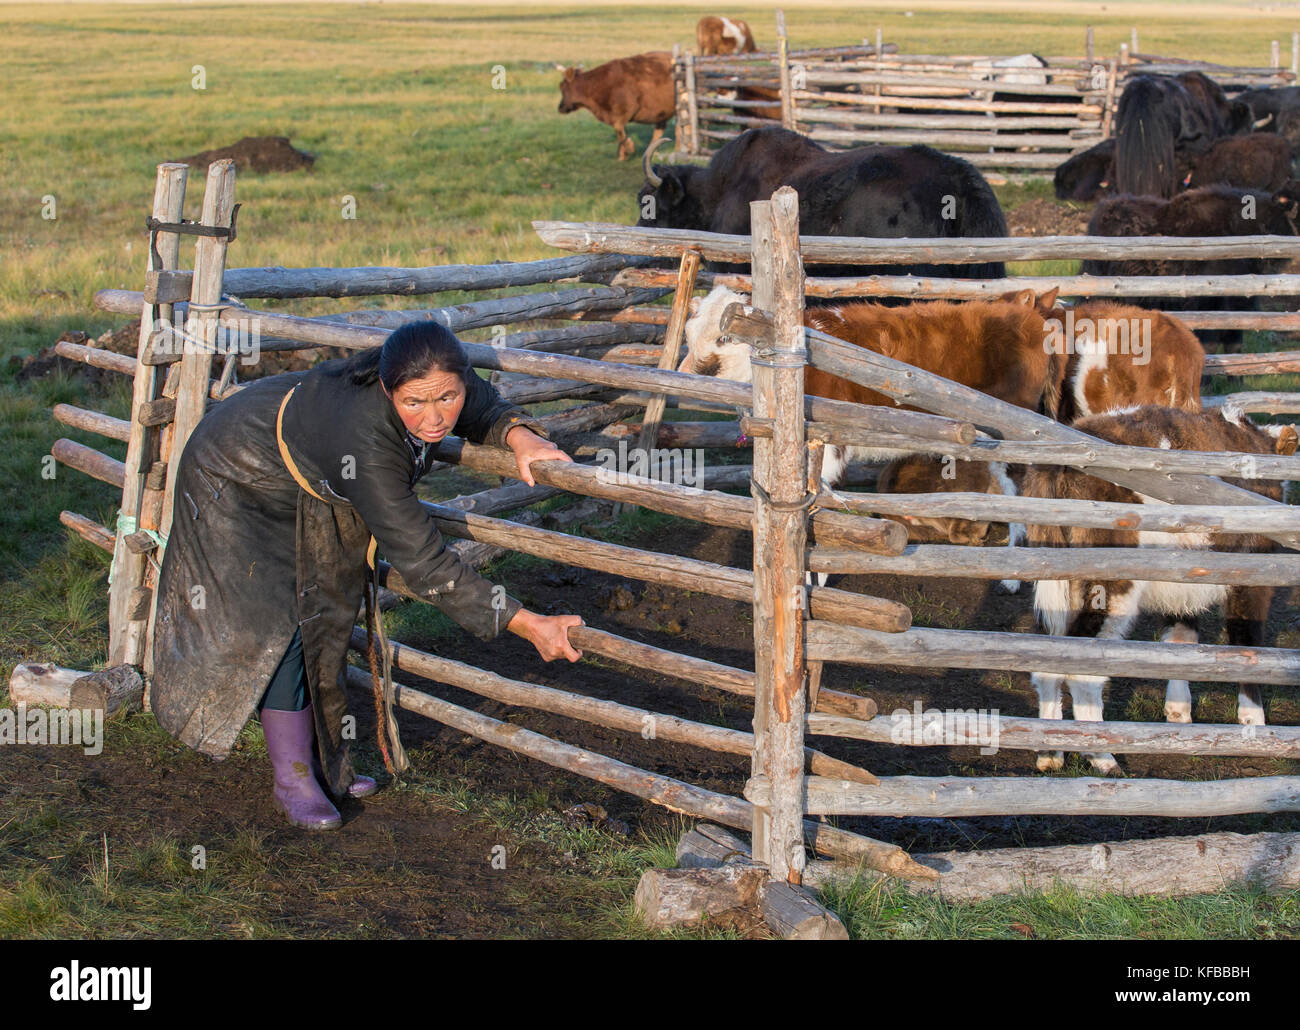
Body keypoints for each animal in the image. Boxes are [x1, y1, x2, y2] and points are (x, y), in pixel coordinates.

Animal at [1023, 404, 1297, 774]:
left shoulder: (1184, 582)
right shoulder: (1253, 574)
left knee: (1045, 657)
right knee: (1081, 665)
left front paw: (1179, 713)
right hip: (1111, 587)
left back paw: (1049, 753)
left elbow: (1180, 641)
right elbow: (1247, 641)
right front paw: (1254, 722)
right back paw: (1102, 756)